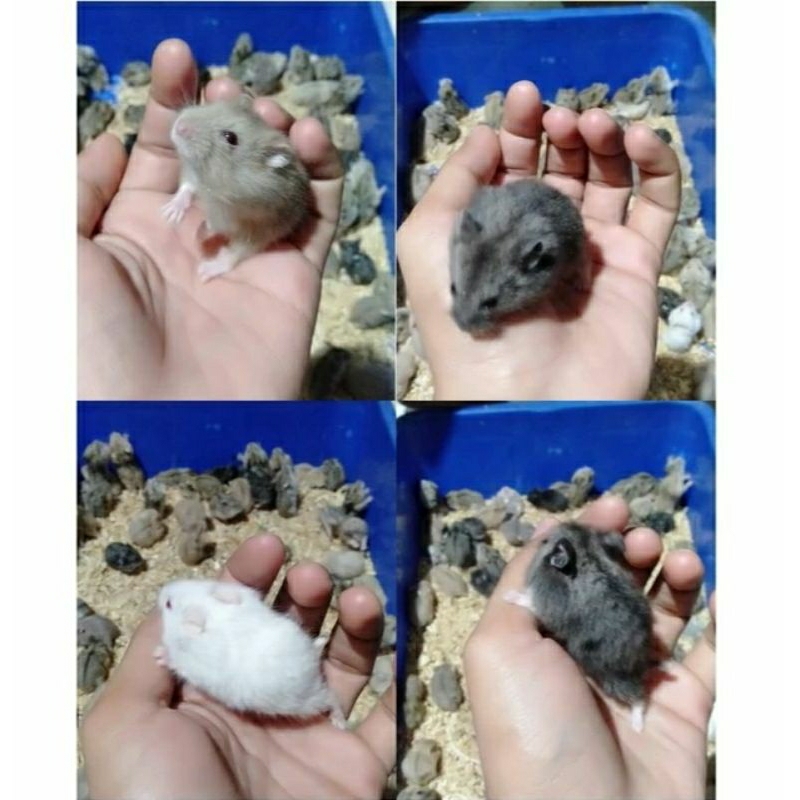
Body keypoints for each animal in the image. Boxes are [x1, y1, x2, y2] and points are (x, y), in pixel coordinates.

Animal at [155, 578, 345, 727]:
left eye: (169, 604)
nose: (163, 587)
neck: (213, 612)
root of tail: (313, 654)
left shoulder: (188, 664)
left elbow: (173, 660)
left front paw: (157, 654)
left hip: (306, 701)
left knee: (332, 698)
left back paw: (339, 722)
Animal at [162, 96, 312, 282]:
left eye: (231, 137)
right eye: (214, 104)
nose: (179, 125)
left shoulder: (236, 215)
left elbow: (216, 226)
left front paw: (200, 232)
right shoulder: (193, 174)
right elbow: (187, 187)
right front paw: (169, 213)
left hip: (260, 235)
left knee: (235, 255)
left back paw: (206, 270)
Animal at [505, 522, 652, 731]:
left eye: (545, 542)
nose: (539, 539)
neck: (586, 553)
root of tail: (641, 659)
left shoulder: (547, 607)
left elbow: (531, 602)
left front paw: (509, 596)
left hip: (610, 675)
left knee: (639, 696)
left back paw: (637, 727)